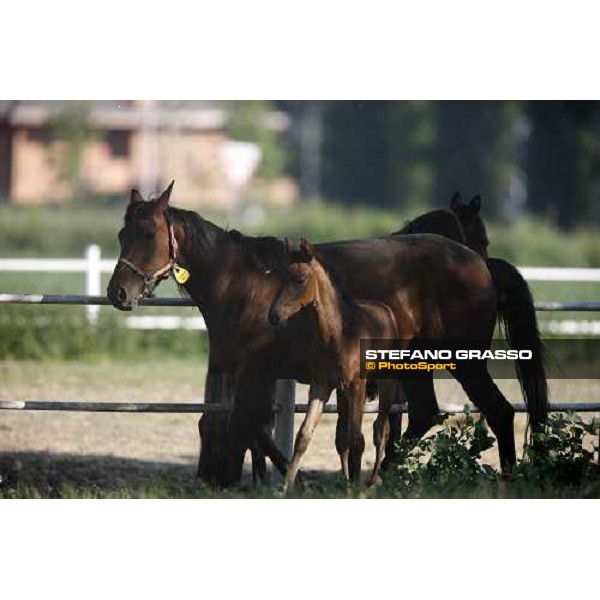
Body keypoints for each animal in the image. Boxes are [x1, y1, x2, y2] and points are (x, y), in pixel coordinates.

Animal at [105, 182, 548, 482]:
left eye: (149, 234)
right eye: (122, 234)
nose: (118, 292)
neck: (243, 280)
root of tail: (479, 266)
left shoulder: (258, 373)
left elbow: (252, 427)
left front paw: (293, 481)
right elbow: (256, 429)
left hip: (463, 361)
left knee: (499, 411)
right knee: (428, 413)